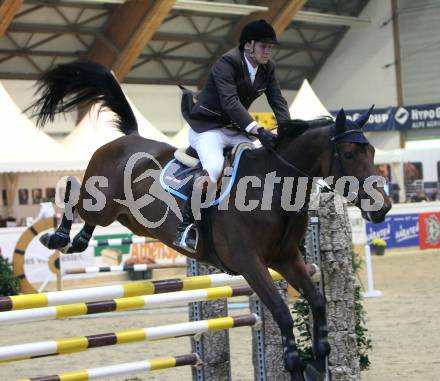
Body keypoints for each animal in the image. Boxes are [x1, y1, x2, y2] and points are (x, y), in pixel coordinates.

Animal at [28, 60, 392, 378]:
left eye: (372, 151)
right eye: (349, 154)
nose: (383, 207)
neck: (273, 187)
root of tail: (127, 138)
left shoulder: (286, 259)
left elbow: (317, 301)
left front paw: (318, 361)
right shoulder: (249, 263)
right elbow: (281, 311)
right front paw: (294, 365)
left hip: (127, 218)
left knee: (89, 216)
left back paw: (77, 241)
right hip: (101, 203)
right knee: (72, 191)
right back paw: (58, 237)